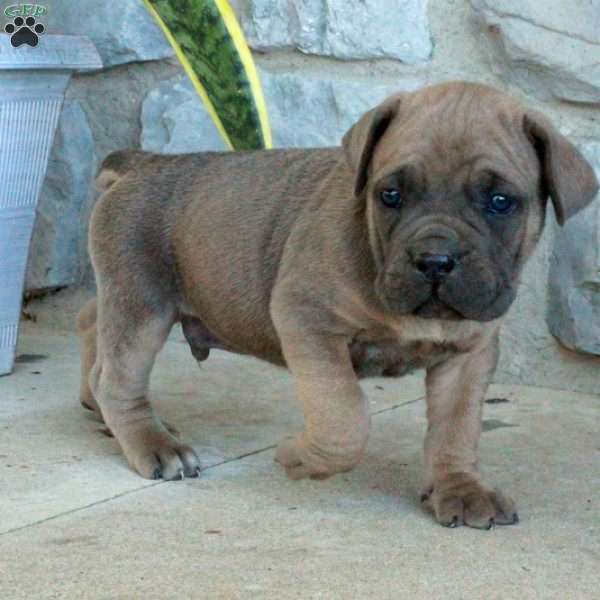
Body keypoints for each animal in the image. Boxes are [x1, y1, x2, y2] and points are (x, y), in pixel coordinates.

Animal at [78, 81, 596, 528]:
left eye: (500, 201)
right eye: (390, 195)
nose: (434, 260)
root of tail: (144, 163)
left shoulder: (469, 353)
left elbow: (457, 427)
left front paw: (460, 488)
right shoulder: (307, 322)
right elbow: (345, 418)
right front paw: (301, 457)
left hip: (124, 298)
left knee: (91, 325)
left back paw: (101, 411)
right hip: (142, 305)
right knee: (118, 379)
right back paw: (152, 442)